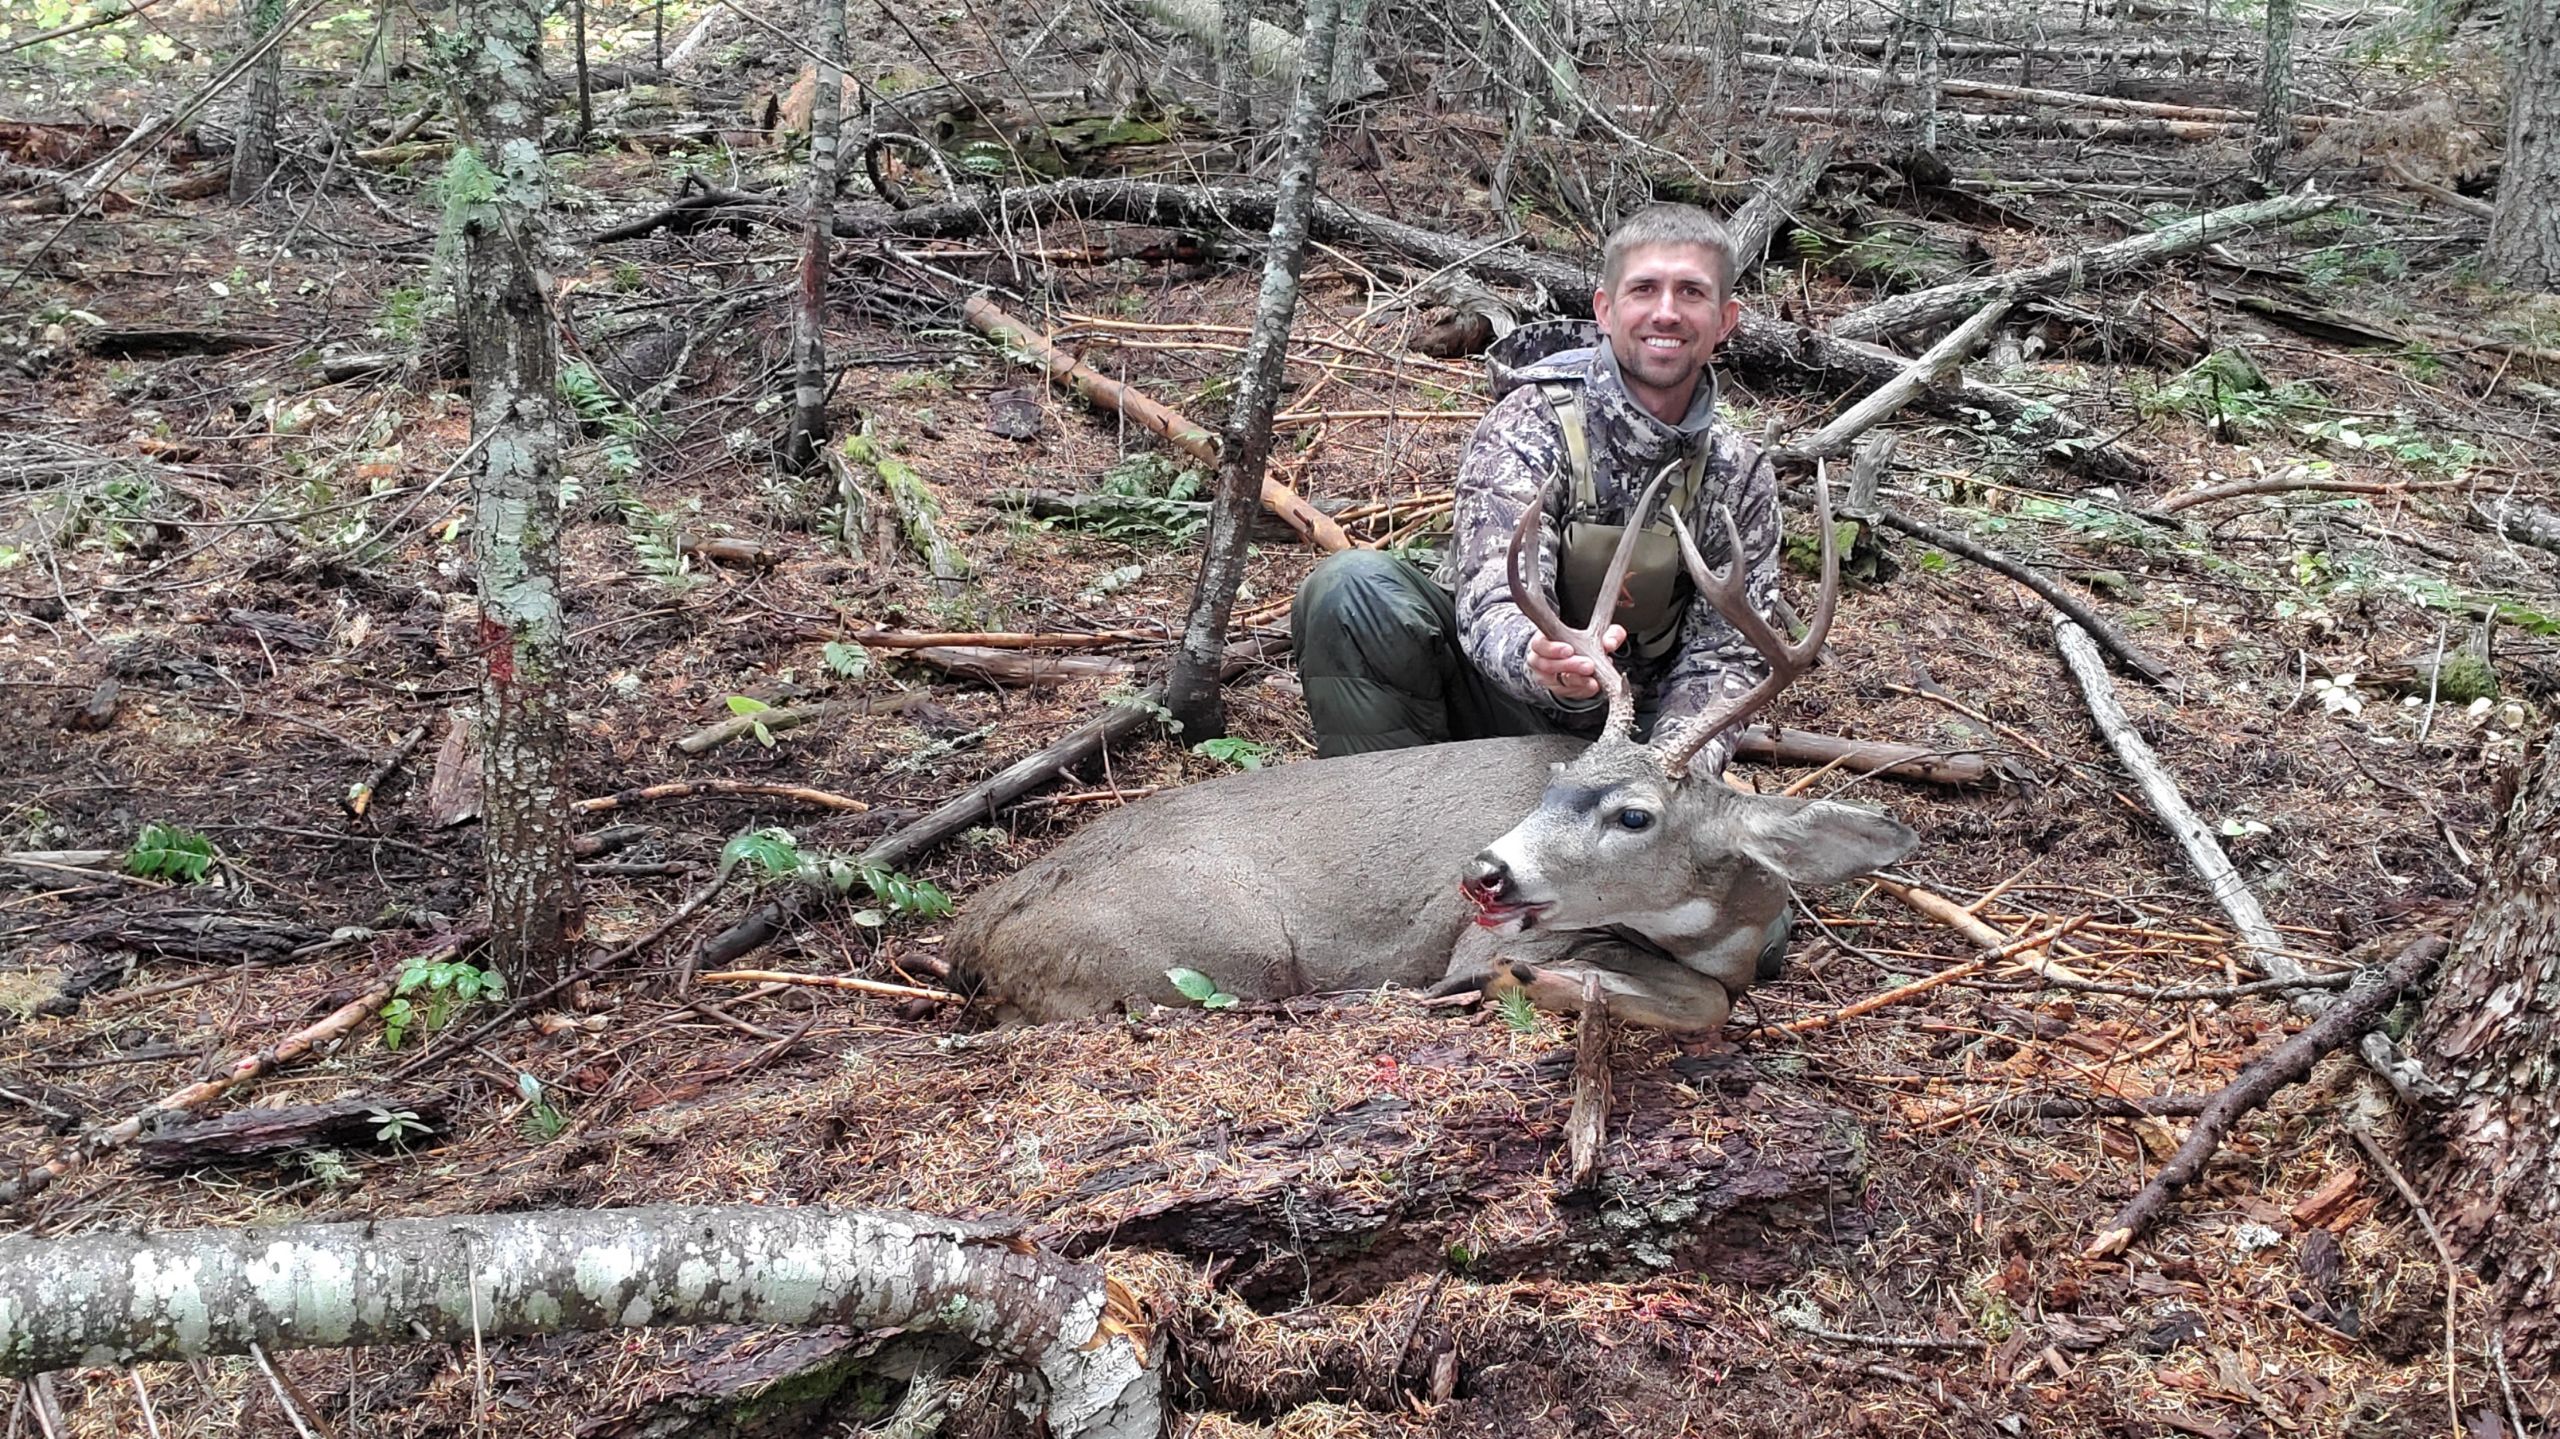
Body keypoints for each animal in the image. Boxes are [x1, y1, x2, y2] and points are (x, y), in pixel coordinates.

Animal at [945, 471, 1919, 1032]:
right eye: (1556, 778)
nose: (1484, 871)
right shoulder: (1482, 945)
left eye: (1635, 814)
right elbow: (1701, 1005)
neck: (1729, 927)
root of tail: (974, 927)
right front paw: (1543, 985)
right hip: (1218, 949)